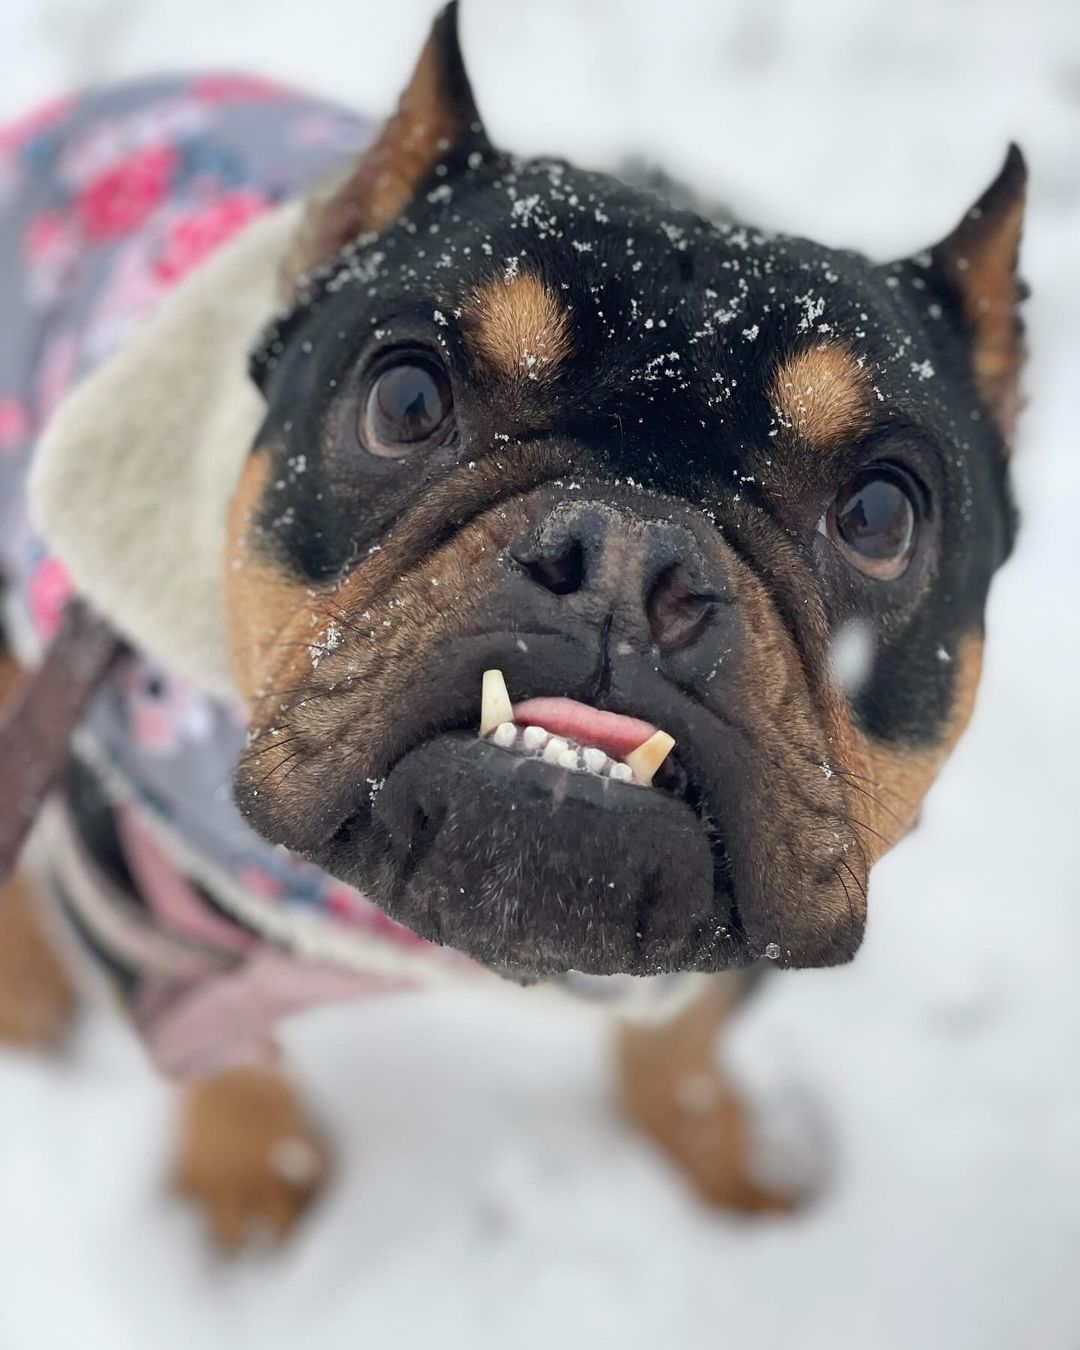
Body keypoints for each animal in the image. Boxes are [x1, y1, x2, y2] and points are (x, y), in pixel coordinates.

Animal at [0, 2, 1026, 1242]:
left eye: (879, 515)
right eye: (405, 399)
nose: (628, 556)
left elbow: (683, 1034)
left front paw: (720, 1161)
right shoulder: (133, 878)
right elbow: (226, 1063)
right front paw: (254, 1191)